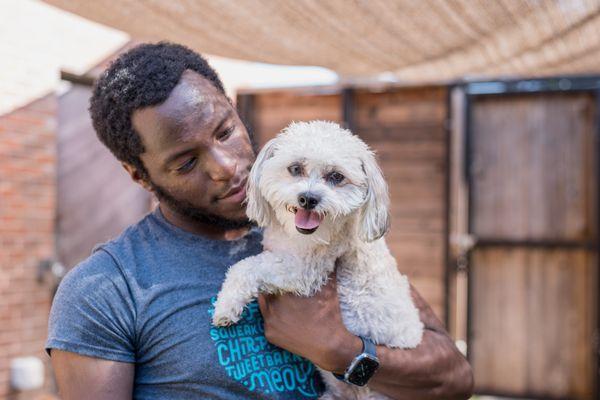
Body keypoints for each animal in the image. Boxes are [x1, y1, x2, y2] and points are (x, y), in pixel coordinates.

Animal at [213, 120, 424, 398]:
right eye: (295, 168)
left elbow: (246, 266)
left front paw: (226, 305)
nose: (308, 198)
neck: (297, 238)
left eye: (336, 177)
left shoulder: (306, 272)